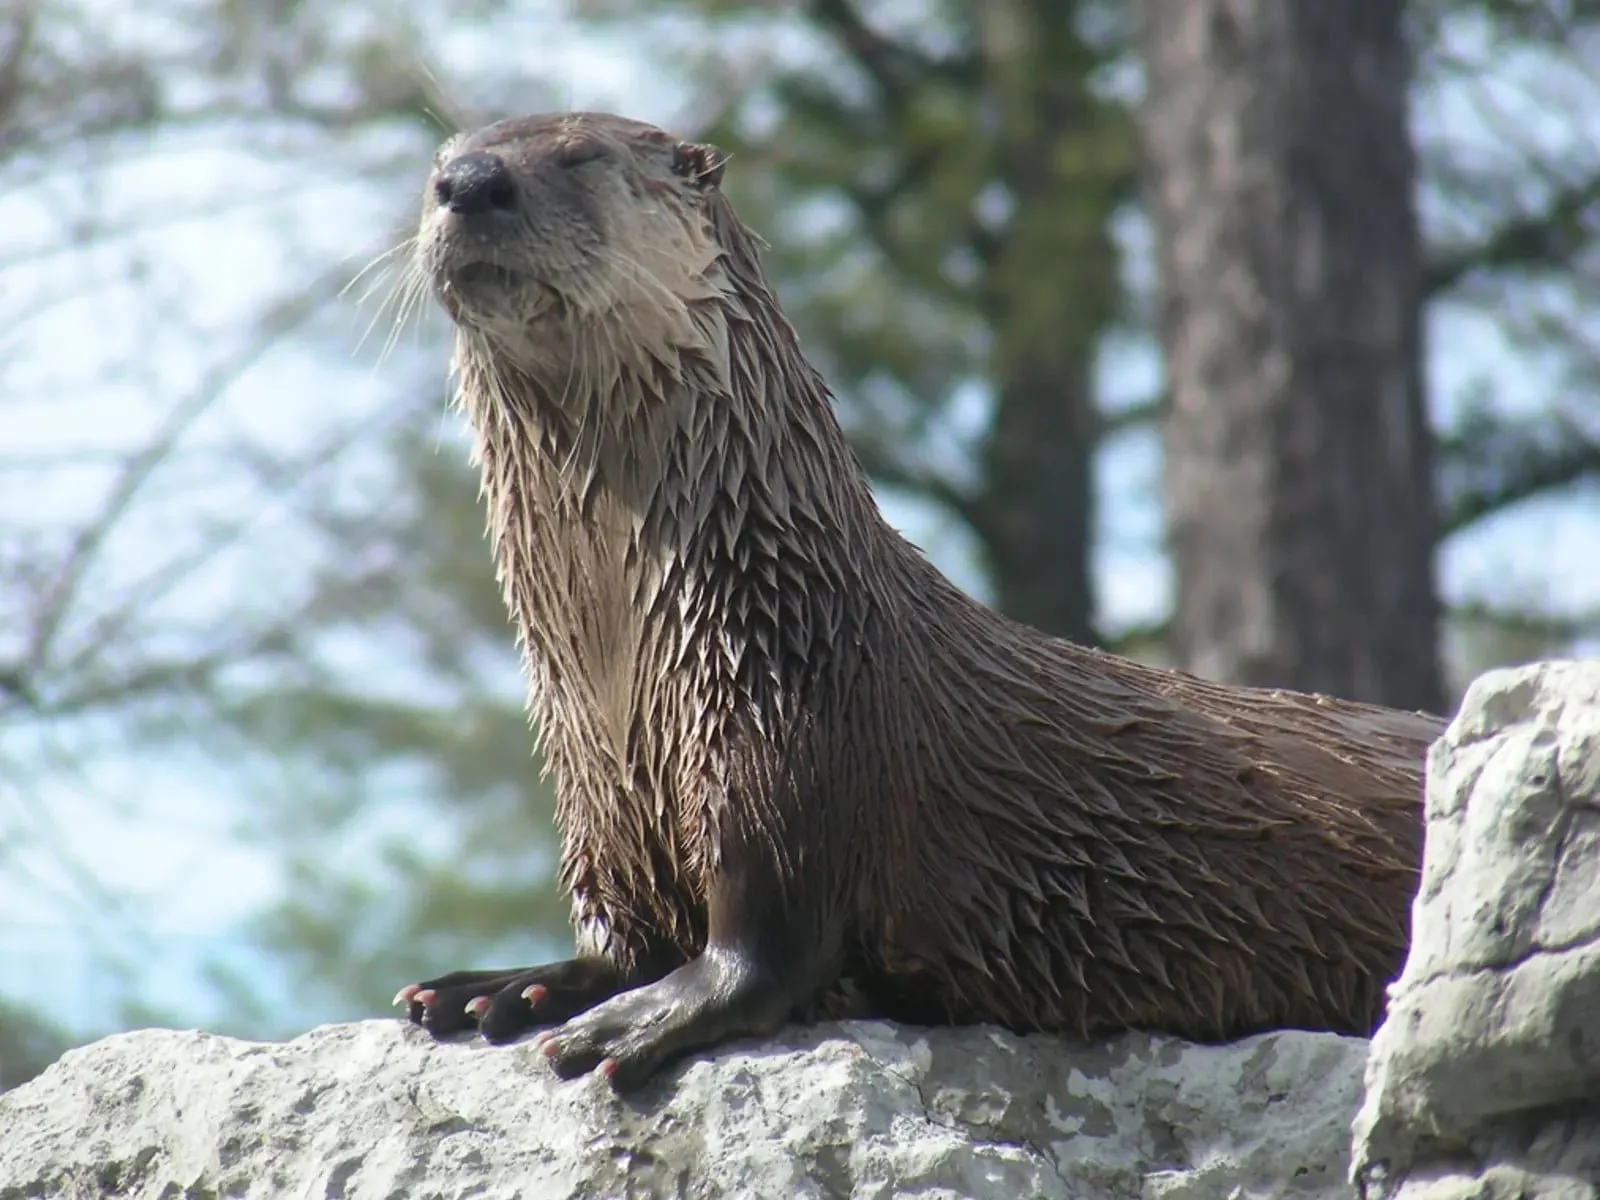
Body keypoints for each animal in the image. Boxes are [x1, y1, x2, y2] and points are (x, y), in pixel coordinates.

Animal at [394, 110, 1443, 1092]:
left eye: (580, 157)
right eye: (439, 160)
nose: (470, 182)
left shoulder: (792, 731)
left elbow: (763, 945)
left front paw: (641, 1016)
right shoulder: (594, 781)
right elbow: (619, 929)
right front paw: (516, 984)